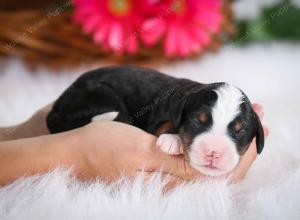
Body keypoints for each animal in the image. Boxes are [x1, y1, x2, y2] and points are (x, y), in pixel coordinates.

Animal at [45, 65, 264, 177]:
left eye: (239, 130)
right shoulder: (158, 117)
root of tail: (57, 107)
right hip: (101, 94)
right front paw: (172, 140)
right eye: (197, 121)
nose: (213, 152)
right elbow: (167, 124)